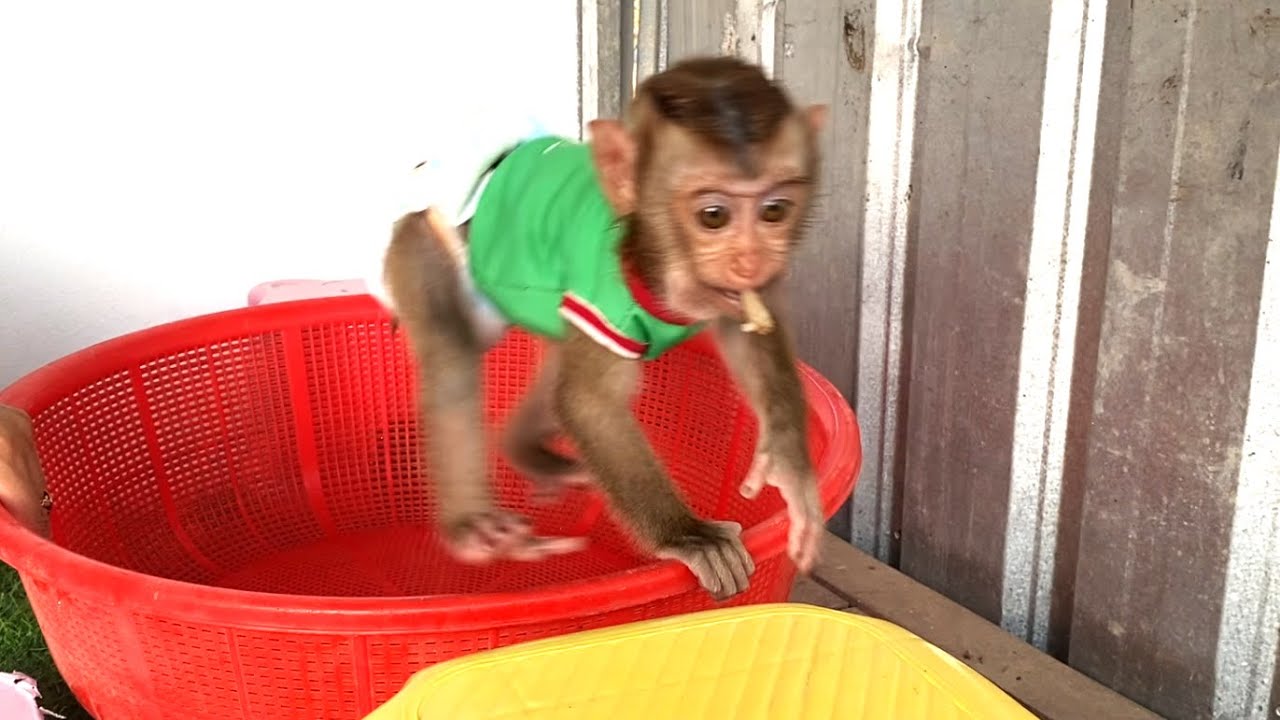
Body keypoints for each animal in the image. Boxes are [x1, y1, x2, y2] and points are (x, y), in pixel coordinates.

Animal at [375, 56, 828, 600]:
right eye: (713, 216)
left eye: (775, 211)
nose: (750, 261)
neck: (653, 265)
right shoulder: (603, 296)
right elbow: (589, 403)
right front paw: (688, 535)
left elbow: (750, 332)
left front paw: (788, 464)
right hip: (429, 239)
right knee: (454, 352)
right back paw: (471, 528)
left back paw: (527, 450)